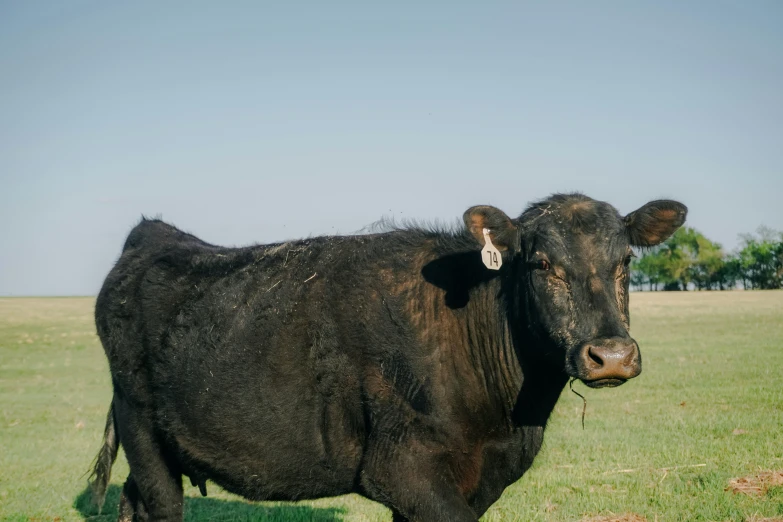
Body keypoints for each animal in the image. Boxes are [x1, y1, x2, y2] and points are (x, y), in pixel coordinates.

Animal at [87, 192, 688, 520]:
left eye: (626, 260)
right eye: (541, 264)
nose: (611, 354)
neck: (508, 422)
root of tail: (154, 235)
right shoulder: (403, 469)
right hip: (142, 427)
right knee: (161, 504)